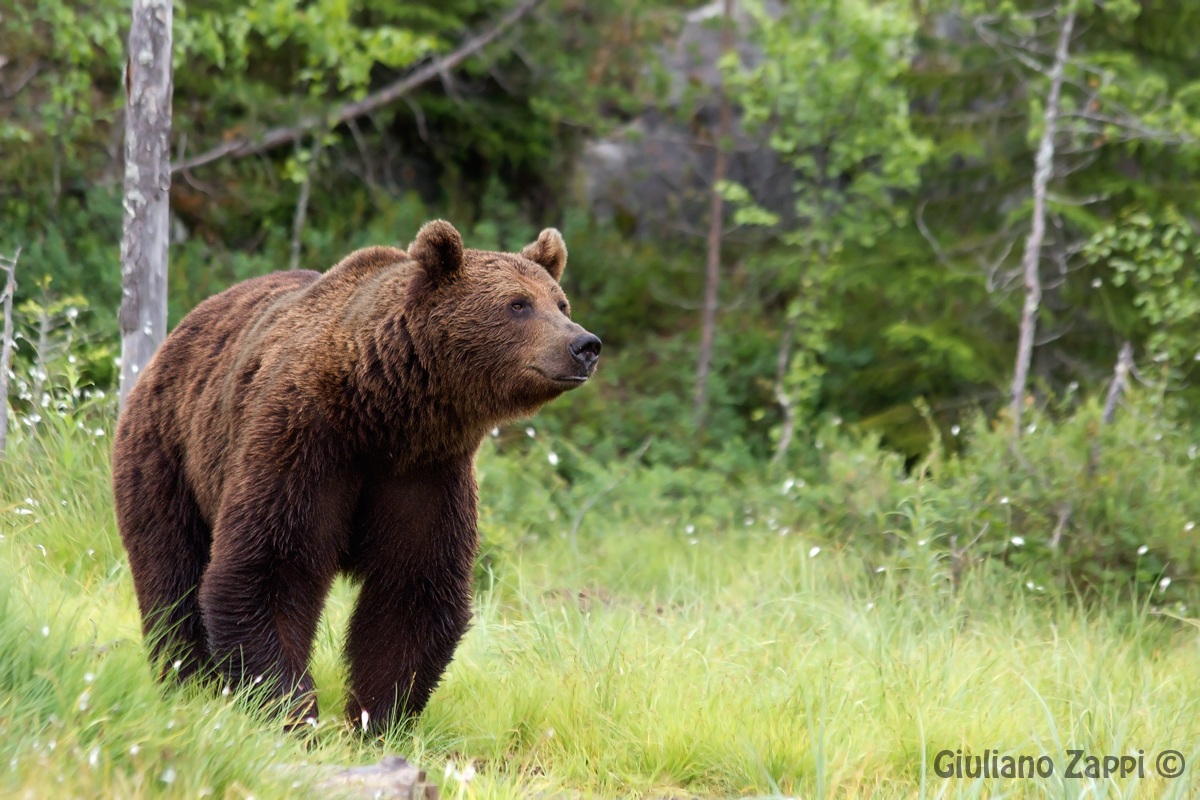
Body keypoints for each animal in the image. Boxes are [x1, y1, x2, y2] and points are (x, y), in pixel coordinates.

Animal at [111, 220, 600, 732]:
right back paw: (186, 681)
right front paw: (291, 712)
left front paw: (377, 720)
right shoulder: (305, 444)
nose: (584, 345)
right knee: (170, 569)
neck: (384, 412)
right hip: (167, 452)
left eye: (560, 303)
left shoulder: (426, 473)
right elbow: (270, 568)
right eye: (517, 304)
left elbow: (412, 593)